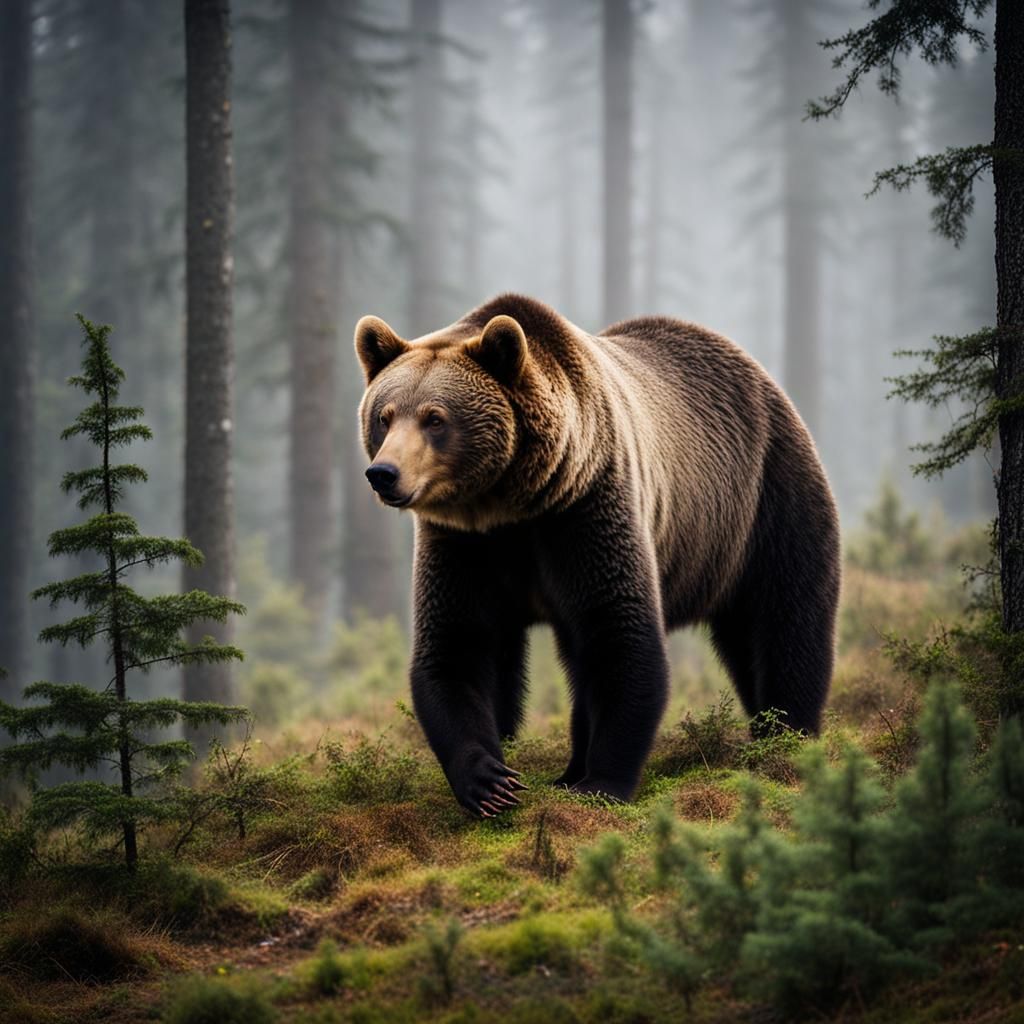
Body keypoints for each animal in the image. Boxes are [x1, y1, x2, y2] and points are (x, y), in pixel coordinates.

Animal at [354, 294, 840, 817]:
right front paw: (490, 780)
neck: (514, 502)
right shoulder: (466, 544)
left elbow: (619, 636)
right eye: (384, 415)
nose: (384, 473)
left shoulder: (587, 510)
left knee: (784, 617)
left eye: (435, 418)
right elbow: (458, 644)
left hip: (766, 497)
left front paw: (601, 783)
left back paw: (786, 736)